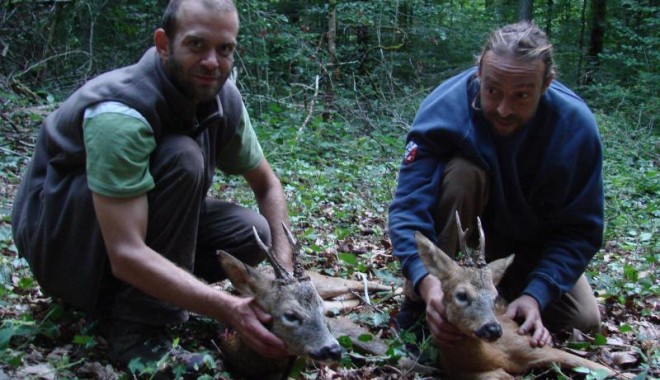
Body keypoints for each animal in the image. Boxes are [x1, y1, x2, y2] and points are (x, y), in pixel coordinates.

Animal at [416, 214, 616, 380]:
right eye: (461, 295)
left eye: (495, 296)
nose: (493, 329)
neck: (494, 357)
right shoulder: (461, 372)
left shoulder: (528, 343)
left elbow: (602, 368)